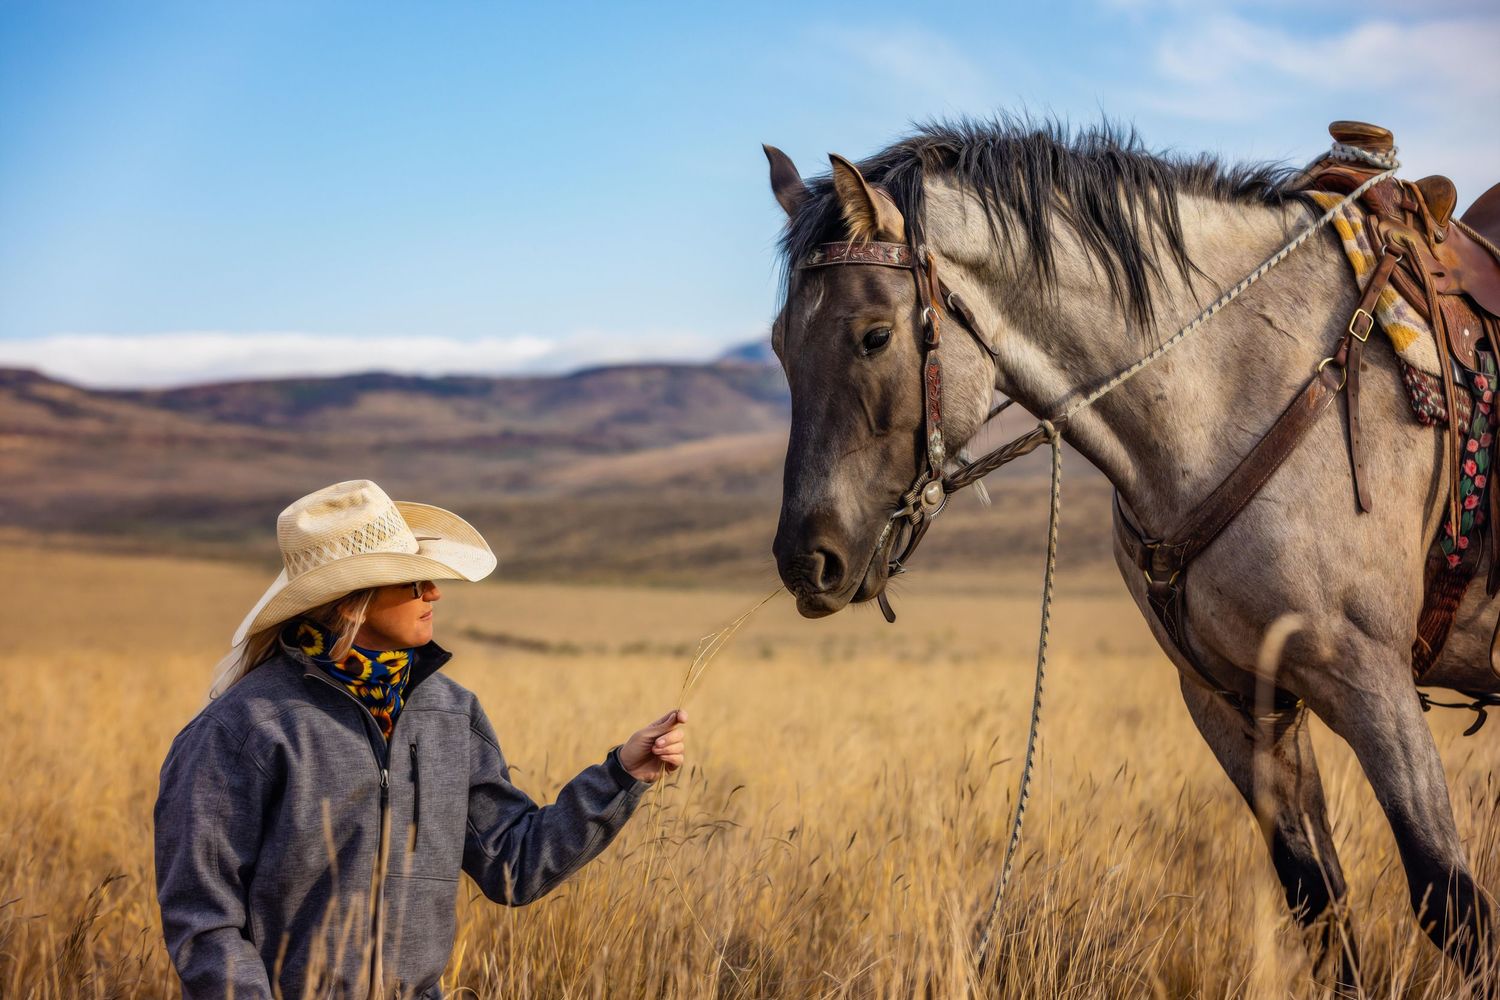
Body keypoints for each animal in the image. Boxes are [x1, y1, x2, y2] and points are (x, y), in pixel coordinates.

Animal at [762, 118, 1499, 990]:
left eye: (874, 336)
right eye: (777, 345)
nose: (807, 561)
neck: (1233, 384)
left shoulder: (1370, 681)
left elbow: (1453, 909)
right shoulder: (1232, 701)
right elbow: (1321, 910)